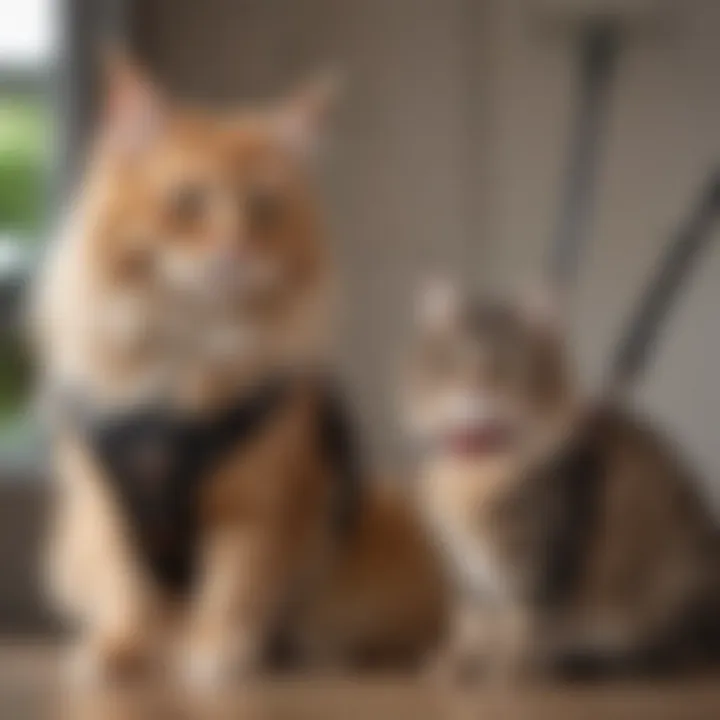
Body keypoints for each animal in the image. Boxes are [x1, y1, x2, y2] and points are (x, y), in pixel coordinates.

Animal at [36, 56, 448, 688]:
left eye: (264, 211)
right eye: (186, 203)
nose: (233, 251)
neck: (187, 361)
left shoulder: (257, 510)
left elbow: (233, 589)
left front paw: (215, 653)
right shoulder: (105, 511)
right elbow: (127, 592)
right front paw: (120, 650)